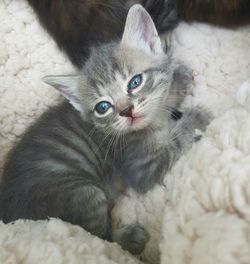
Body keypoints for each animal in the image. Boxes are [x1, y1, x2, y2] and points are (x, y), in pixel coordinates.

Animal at [0, 4, 211, 256]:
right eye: (103, 107)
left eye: (135, 82)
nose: (127, 111)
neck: (153, 122)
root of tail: (9, 216)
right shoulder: (141, 169)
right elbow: (173, 143)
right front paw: (194, 119)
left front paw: (176, 80)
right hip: (82, 194)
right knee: (100, 236)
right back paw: (130, 238)